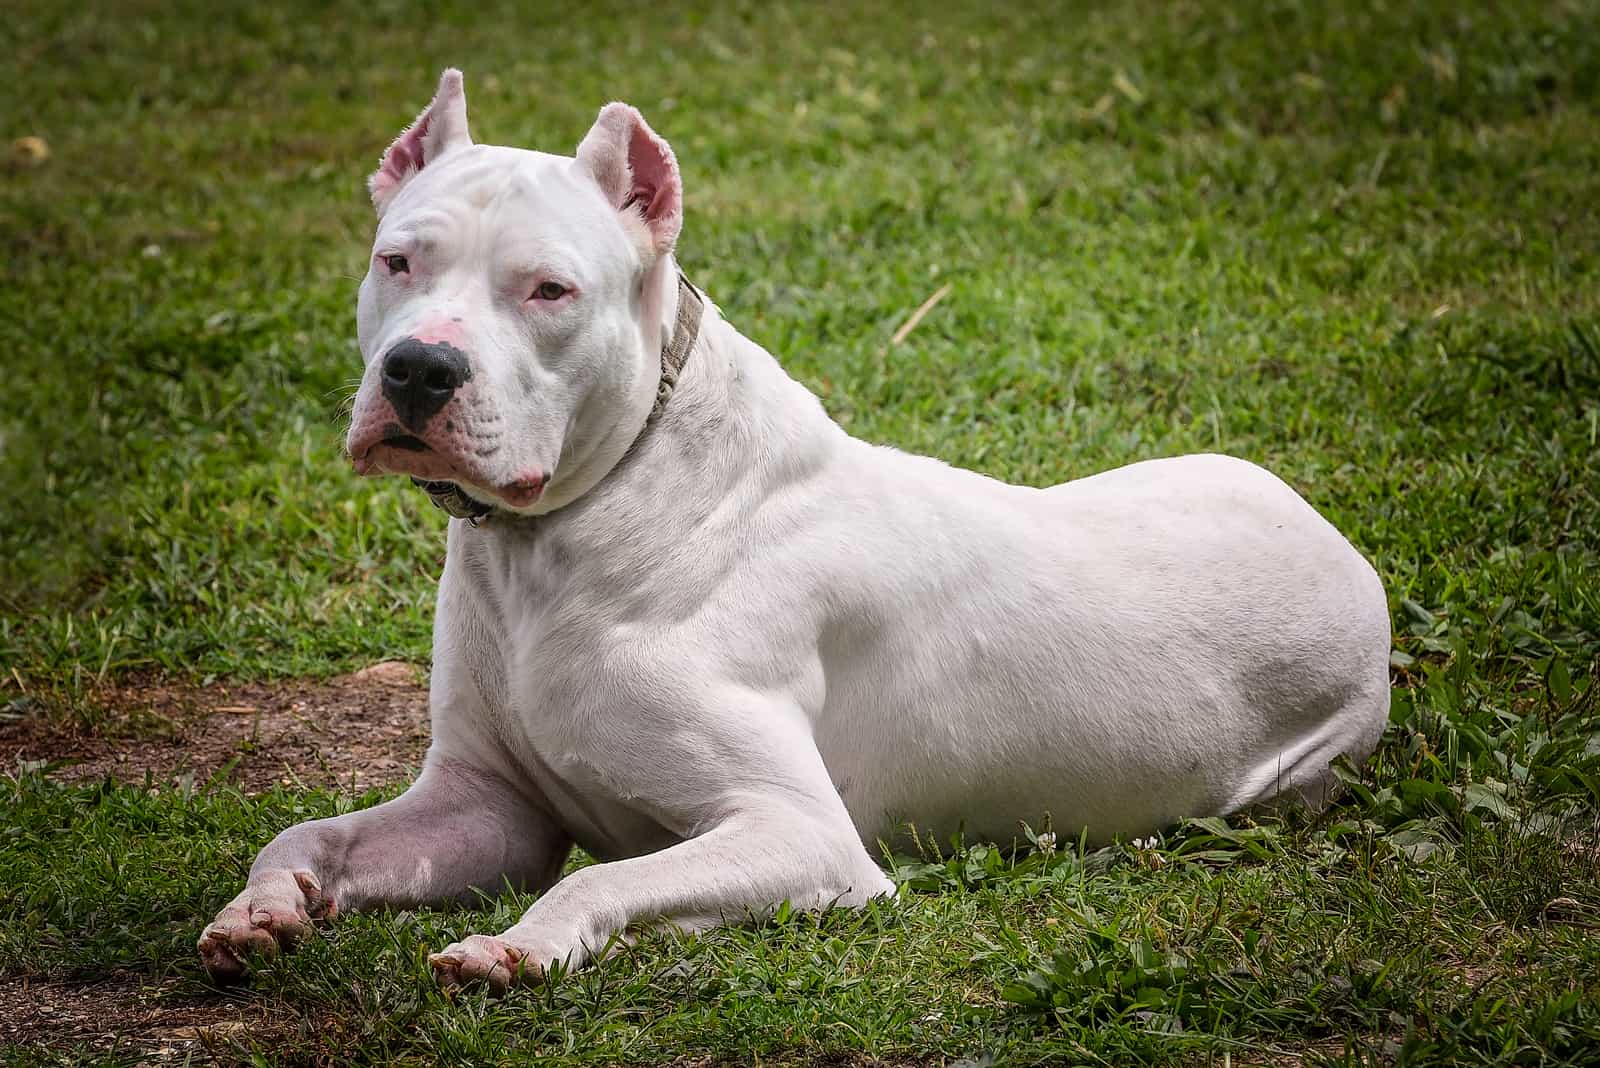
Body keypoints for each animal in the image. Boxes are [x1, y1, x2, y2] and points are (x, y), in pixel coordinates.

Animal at [200, 70, 1395, 991]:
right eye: (398, 261)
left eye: (548, 291)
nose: (418, 370)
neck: (568, 528)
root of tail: (1337, 545)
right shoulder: (485, 806)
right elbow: (309, 831)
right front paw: (262, 908)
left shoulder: (801, 834)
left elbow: (602, 874)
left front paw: (519, 945)